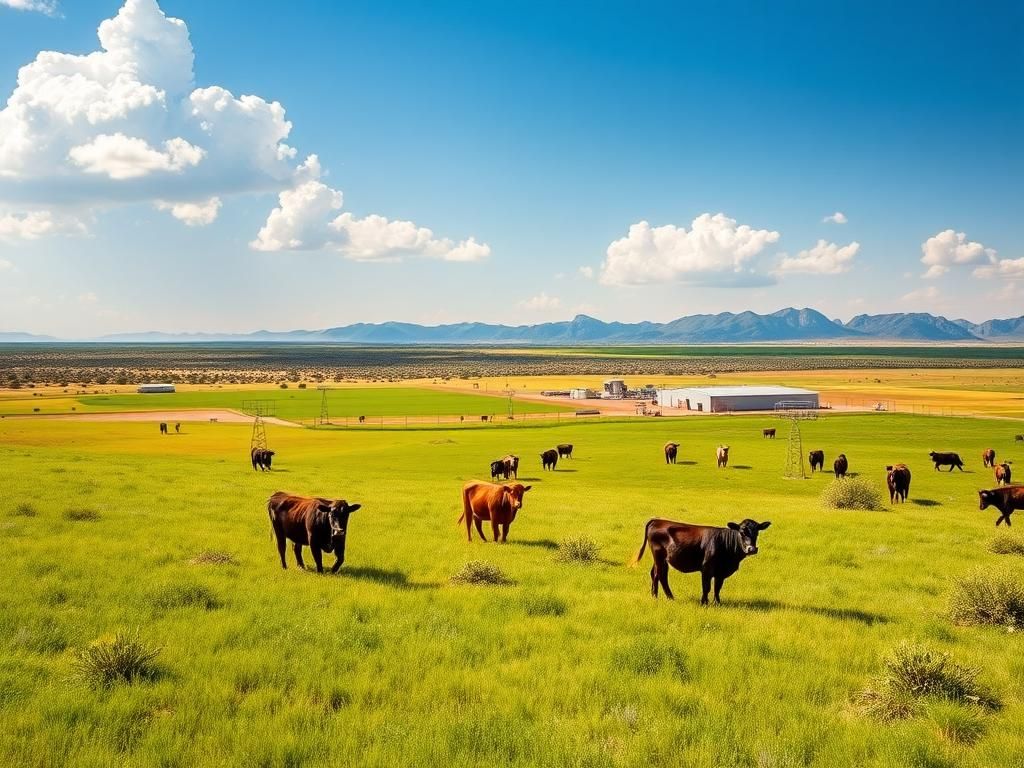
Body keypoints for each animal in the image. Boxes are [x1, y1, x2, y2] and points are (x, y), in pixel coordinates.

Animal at [631, 518, 771, 603]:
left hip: (660, 559)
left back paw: (654, 596)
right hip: (659, 556)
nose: (751, 549)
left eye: (757, 532)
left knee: (654, 574)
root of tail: (657, 520)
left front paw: (717, 602)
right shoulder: (707, 568)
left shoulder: (721, 572)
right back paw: (670, 597)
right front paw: (704, 602)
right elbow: (706, 587)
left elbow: (717, 588)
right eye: (742, 532)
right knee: (661, 575)